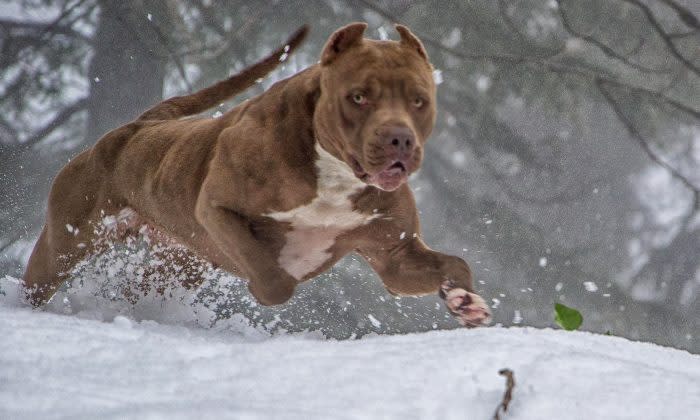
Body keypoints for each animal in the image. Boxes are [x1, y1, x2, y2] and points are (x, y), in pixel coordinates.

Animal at [21, 23, 492, 328]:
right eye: (358, 97)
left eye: (419, 100)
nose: (399, 139)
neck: (335, 171)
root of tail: (142, 123)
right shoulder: (218, 209)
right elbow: (275, 280)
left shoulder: (395, 254)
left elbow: (454, 264)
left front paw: (463, 300)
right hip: (68, 238)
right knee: (42, 277)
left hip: (179, 261)